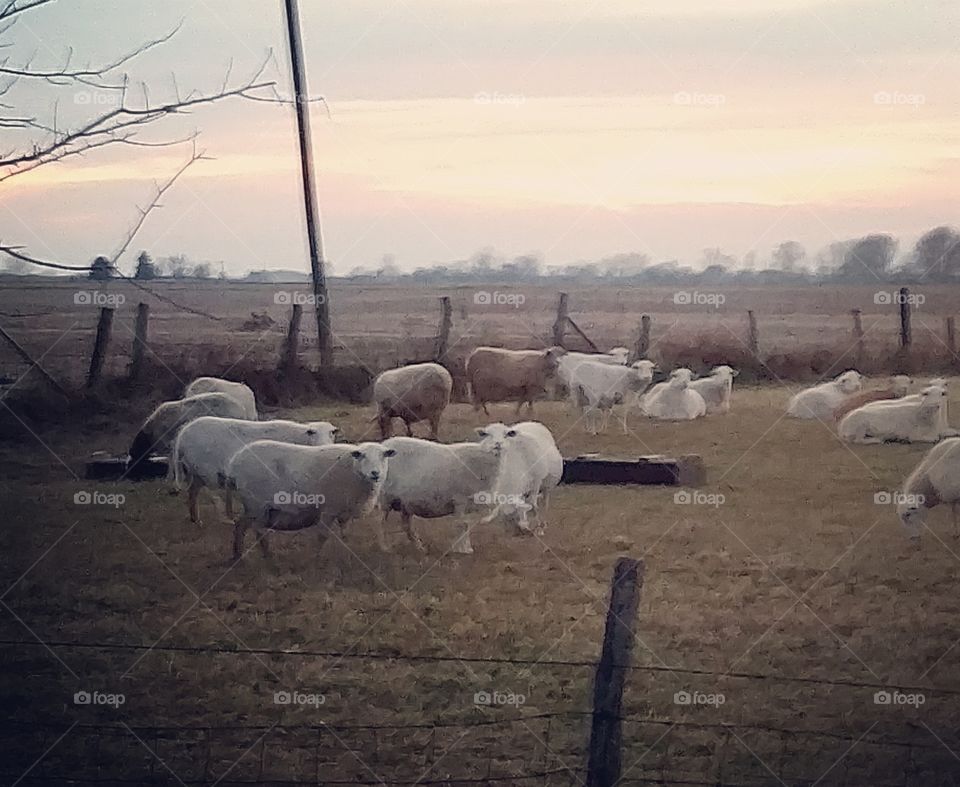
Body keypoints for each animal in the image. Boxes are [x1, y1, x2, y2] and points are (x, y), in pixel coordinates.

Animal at [170, 417, 338, 525]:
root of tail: (182, 434)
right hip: (206, 470)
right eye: (312, 432)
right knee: (207, 493)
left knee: (193, 491)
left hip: (196, 470)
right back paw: (223, 518)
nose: (326, 445)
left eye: (332, 433)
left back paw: (195, 518)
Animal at [223, 441, 395, 560]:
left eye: (383, 455)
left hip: (253, 507)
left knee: (240, 525)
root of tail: (233, 463)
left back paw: (237, 555)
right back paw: (267, 557)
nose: (375, 473)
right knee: (259, 531)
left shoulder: (344, 511)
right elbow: (322, 536)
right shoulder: (329, 509)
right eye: (363, 456)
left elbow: (345, 534)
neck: (354, 469)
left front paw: (347, 552)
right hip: (257, 504)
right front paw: (316, 557)